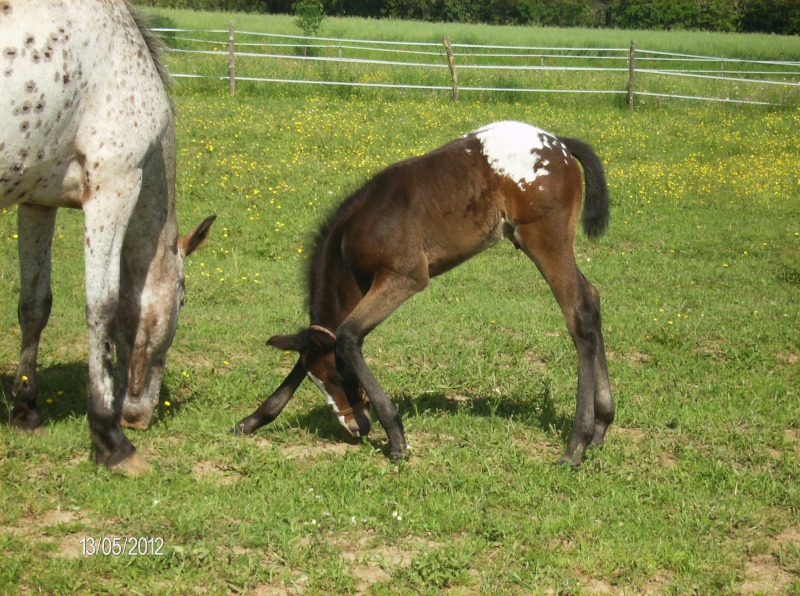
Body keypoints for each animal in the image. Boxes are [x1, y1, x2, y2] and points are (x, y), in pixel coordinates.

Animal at [0, 1, 216, 474]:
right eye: (184, 296)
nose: (138, 418)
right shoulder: (113, 186)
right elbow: (103, 307)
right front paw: (110, 439)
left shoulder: (37, 201)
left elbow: (34, 305)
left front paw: (26, 410)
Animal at [236, 120, 612, 466]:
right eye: (319, 380)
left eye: (338, 375)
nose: (357, 426)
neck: (355, 232)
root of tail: (560, 143)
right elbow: (315, 346)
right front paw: (252, 420)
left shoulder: (405, 277)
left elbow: (347, 336)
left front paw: (397, 439)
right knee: (593, 299)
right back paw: (602, 425)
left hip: (544, 240)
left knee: (579, 313)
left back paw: (576, 444)